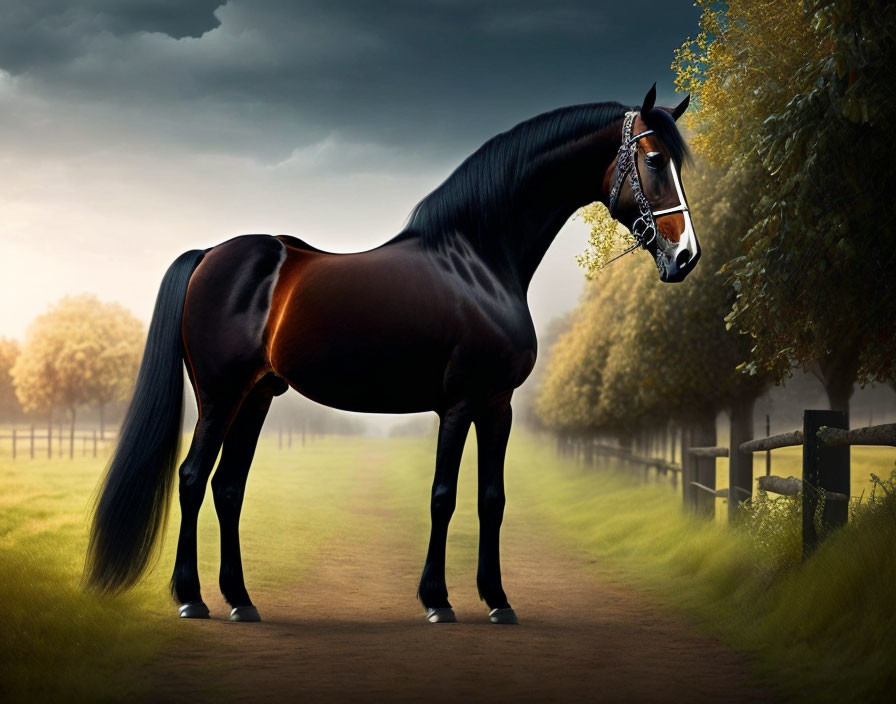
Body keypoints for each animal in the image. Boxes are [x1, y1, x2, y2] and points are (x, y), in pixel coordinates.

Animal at [86, 85, 700, 624]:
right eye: (652, 159)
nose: (686, 256)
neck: (477, 261)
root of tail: (210, 253)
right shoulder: (458, 403)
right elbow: (444, 496)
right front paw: (438, 601)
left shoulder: (497, 405)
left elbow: (492, 499)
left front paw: (498, 601)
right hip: (219, 396)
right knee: (193, 479)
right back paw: (191, 599)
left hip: (257, 396)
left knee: (228, 487)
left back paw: (241, 601)